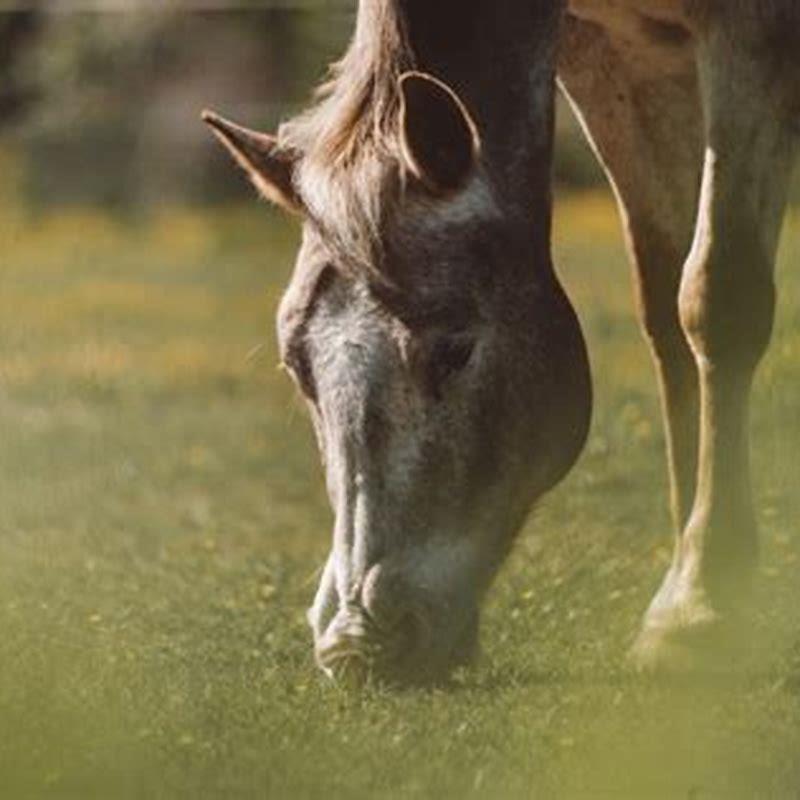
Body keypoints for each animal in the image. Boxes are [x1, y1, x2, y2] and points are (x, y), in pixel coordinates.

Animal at [203, 1, 796, 688]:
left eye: (454, 350)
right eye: (297, 367)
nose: (355, 644)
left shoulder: (752, 36)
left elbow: (717, 299)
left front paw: (700, 607)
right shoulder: (616, 59)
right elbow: (667, 307)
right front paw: (687, 581)